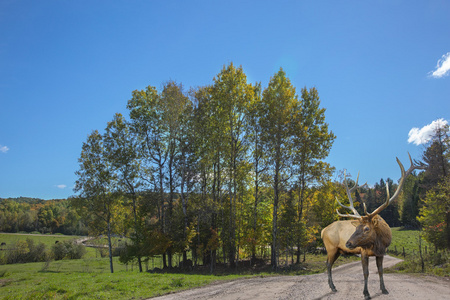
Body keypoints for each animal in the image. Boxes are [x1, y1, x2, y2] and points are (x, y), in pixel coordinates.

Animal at [322, 155, 424, 300]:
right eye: (356, 228)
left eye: (366, 229)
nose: (348, 243)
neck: (378, 243)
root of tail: (323, 231)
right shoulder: (363, 252)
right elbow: (366, 273)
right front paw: (366, 293)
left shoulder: (381, 253)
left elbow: (380, 271)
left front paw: (384, 289)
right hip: (331, 247)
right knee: (328, 264)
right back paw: (332, 287)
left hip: (337, 250)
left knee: (328, 264)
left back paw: (333, 286)